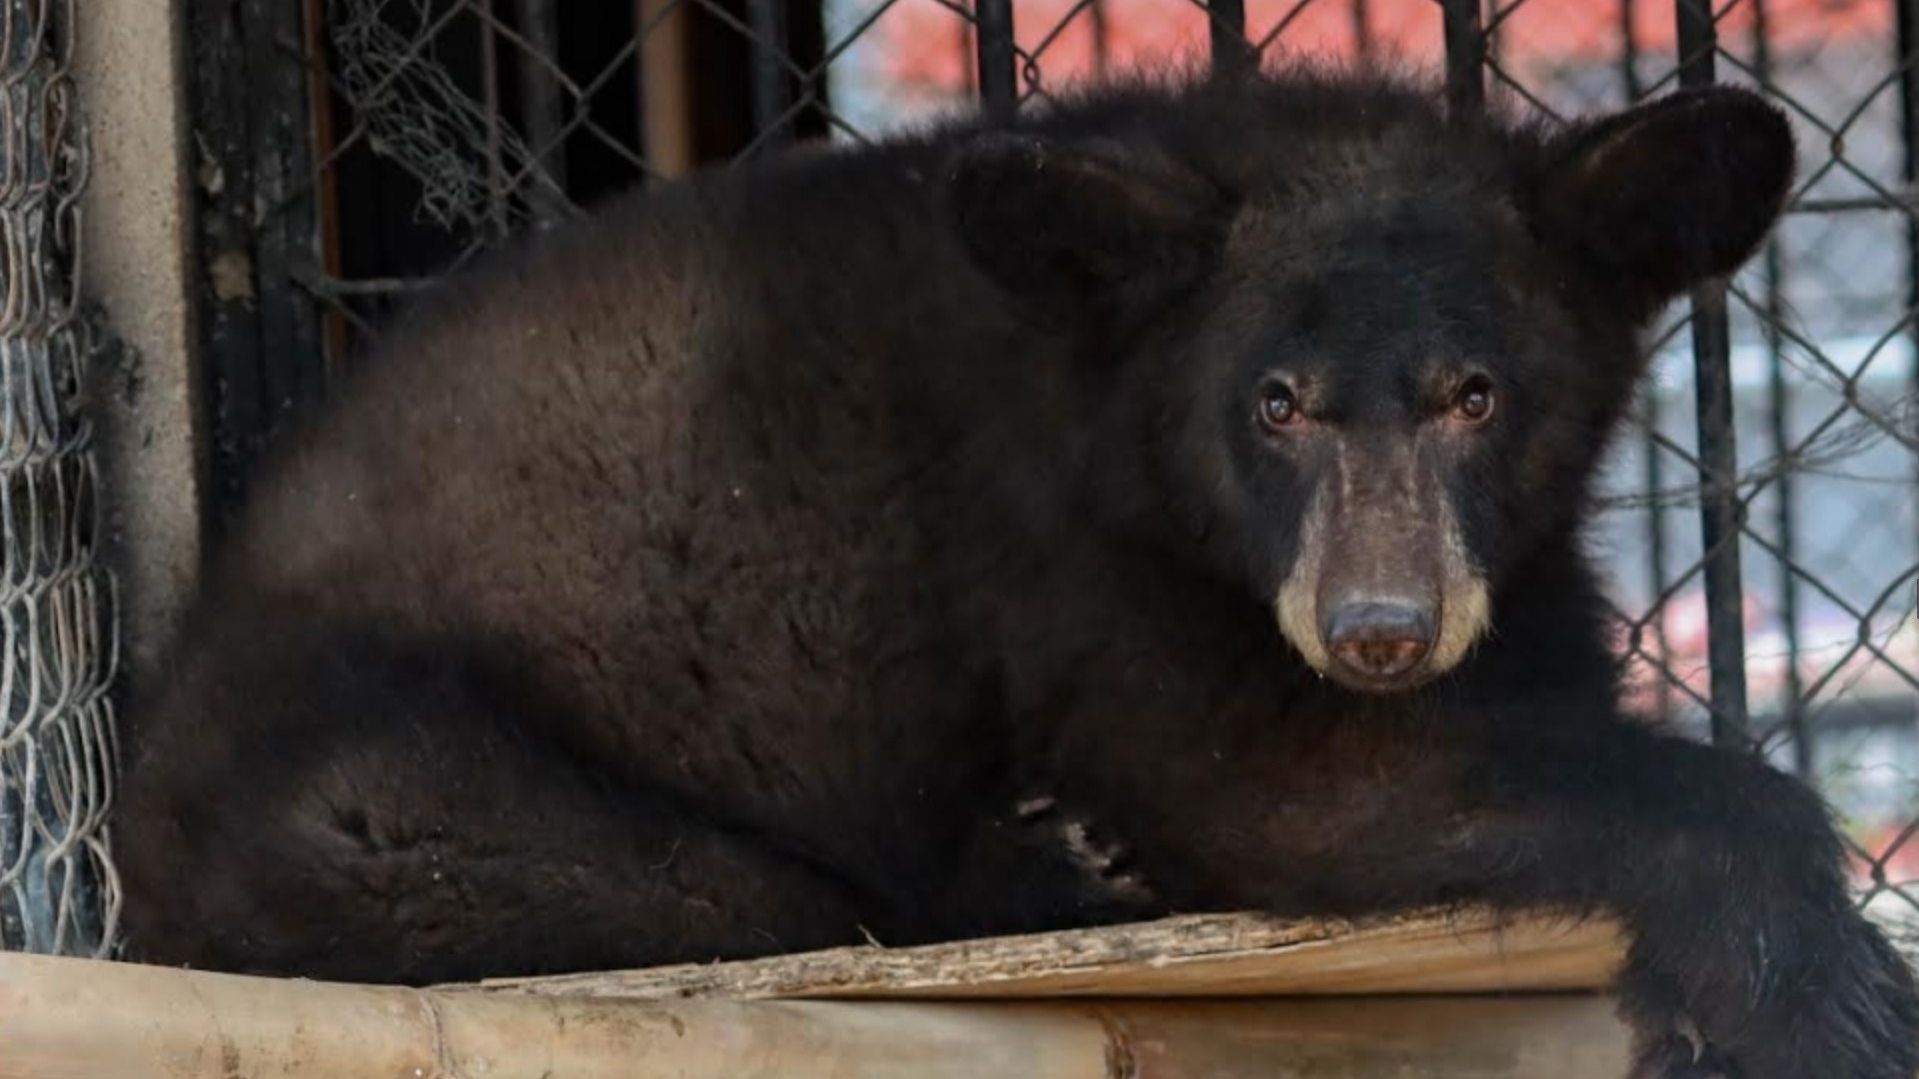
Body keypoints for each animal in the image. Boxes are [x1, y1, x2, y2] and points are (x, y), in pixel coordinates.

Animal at [116, 69, 1919, 1075]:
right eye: (1271, 402)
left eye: (1475, 393)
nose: (1377, 632)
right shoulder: (1071, 565)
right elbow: (1273, 778)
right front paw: (1823, 999)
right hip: (382, 791)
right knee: (726, 882)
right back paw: (1051, 859)